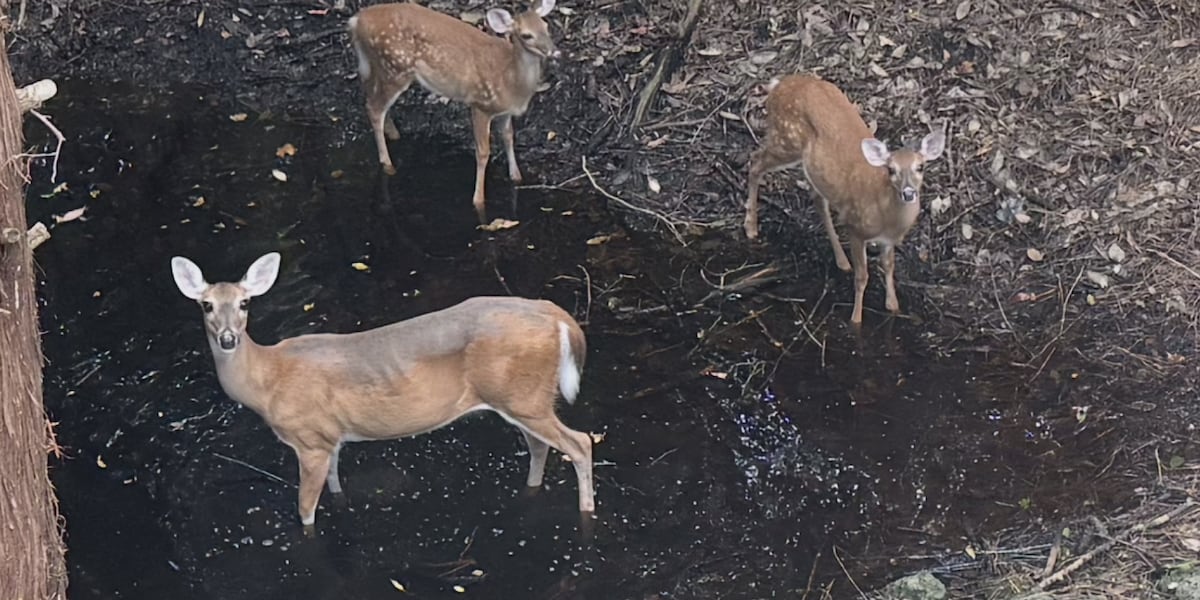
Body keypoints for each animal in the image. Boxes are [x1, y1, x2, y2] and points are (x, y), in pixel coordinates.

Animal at [170, 252, 594, 535]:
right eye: (206, 305)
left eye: (244, 303)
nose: (228, 338)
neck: (268, 379)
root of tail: (557, 316)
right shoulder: (330, 437)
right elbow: (336, 484)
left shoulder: (309, 440)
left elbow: (305, 509)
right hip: (522, 397)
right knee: (540, 446)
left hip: (522, 397)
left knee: (581, 442)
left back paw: (586, 512)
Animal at [348, 0, 560, 219]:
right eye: (526, 35)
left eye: (546, 26)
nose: (554, 52)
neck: (510, 80)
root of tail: (356, 20)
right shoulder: (480, 104)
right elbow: (483, 152)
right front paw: (478, 200)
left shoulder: (505, 112)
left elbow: (509, 137)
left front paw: (516, 177)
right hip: (395, 69)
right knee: (374, 109)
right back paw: (388, 164)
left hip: (381, 68)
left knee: (371, 96)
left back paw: (394, 133)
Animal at [744, 74, 946, 324]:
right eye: (891, 169)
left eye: (921, 166)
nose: (908, 192)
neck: (885, 217)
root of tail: (777, 85)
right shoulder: (856, 228)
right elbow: (863, 276)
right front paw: (856, 319)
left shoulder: (888, 240)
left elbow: (889, 267)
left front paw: (893, 306)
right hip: (785, 139)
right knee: (755, 162)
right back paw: (751, 228)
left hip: (810, 164)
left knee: (816, 198)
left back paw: (841, 260)